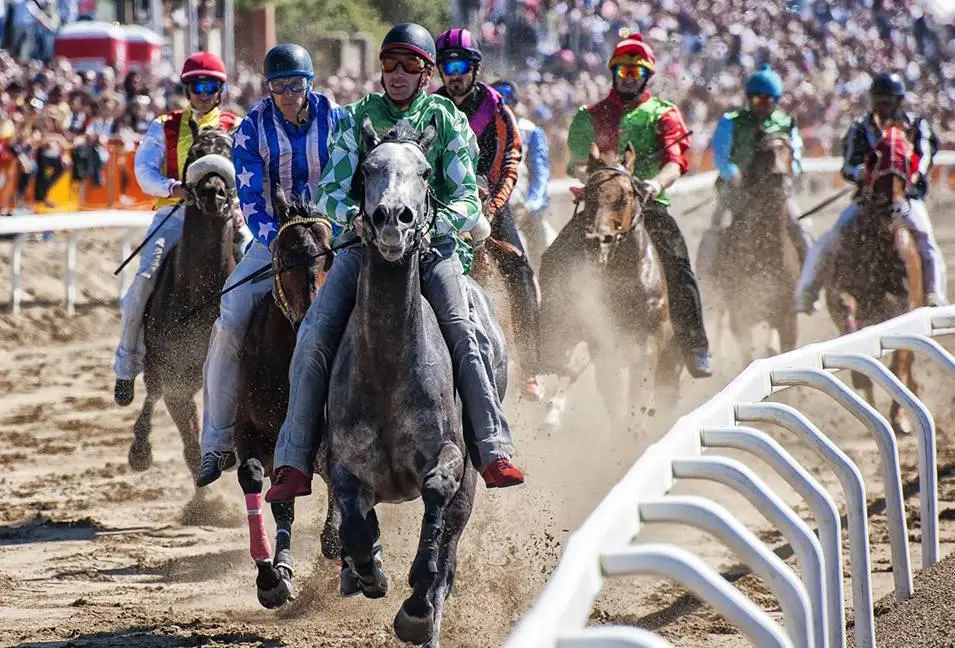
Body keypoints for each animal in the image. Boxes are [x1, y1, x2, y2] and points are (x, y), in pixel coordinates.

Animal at [324, 117, 508, 648]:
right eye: (368, 168)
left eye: (426, 172)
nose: (392, 218)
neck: (387, 369)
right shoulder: (344, 464)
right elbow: (354, 522)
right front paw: (368, 571)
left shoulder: (450, 454)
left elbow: (438, 496)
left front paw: (415, 607)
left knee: (450, 551)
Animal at [540, 143, 684, 430]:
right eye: (588, 193)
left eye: (625, 195)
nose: (597, 241)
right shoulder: (603, 347)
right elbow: (615, 402)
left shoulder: (649, 344)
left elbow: (639, 396)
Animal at [704, 132, 804, 364]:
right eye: (764, 153)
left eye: (789, 151)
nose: (779, 181)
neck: (764, 255)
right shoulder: (739, 316)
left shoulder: (787, 317)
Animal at [820, 121, 928, 436]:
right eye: (873, 157)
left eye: (907, 158)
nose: (889, 207)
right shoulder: (840, 289)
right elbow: (845, 310)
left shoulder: (907, 301)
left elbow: (900, 357)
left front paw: (901, 416)